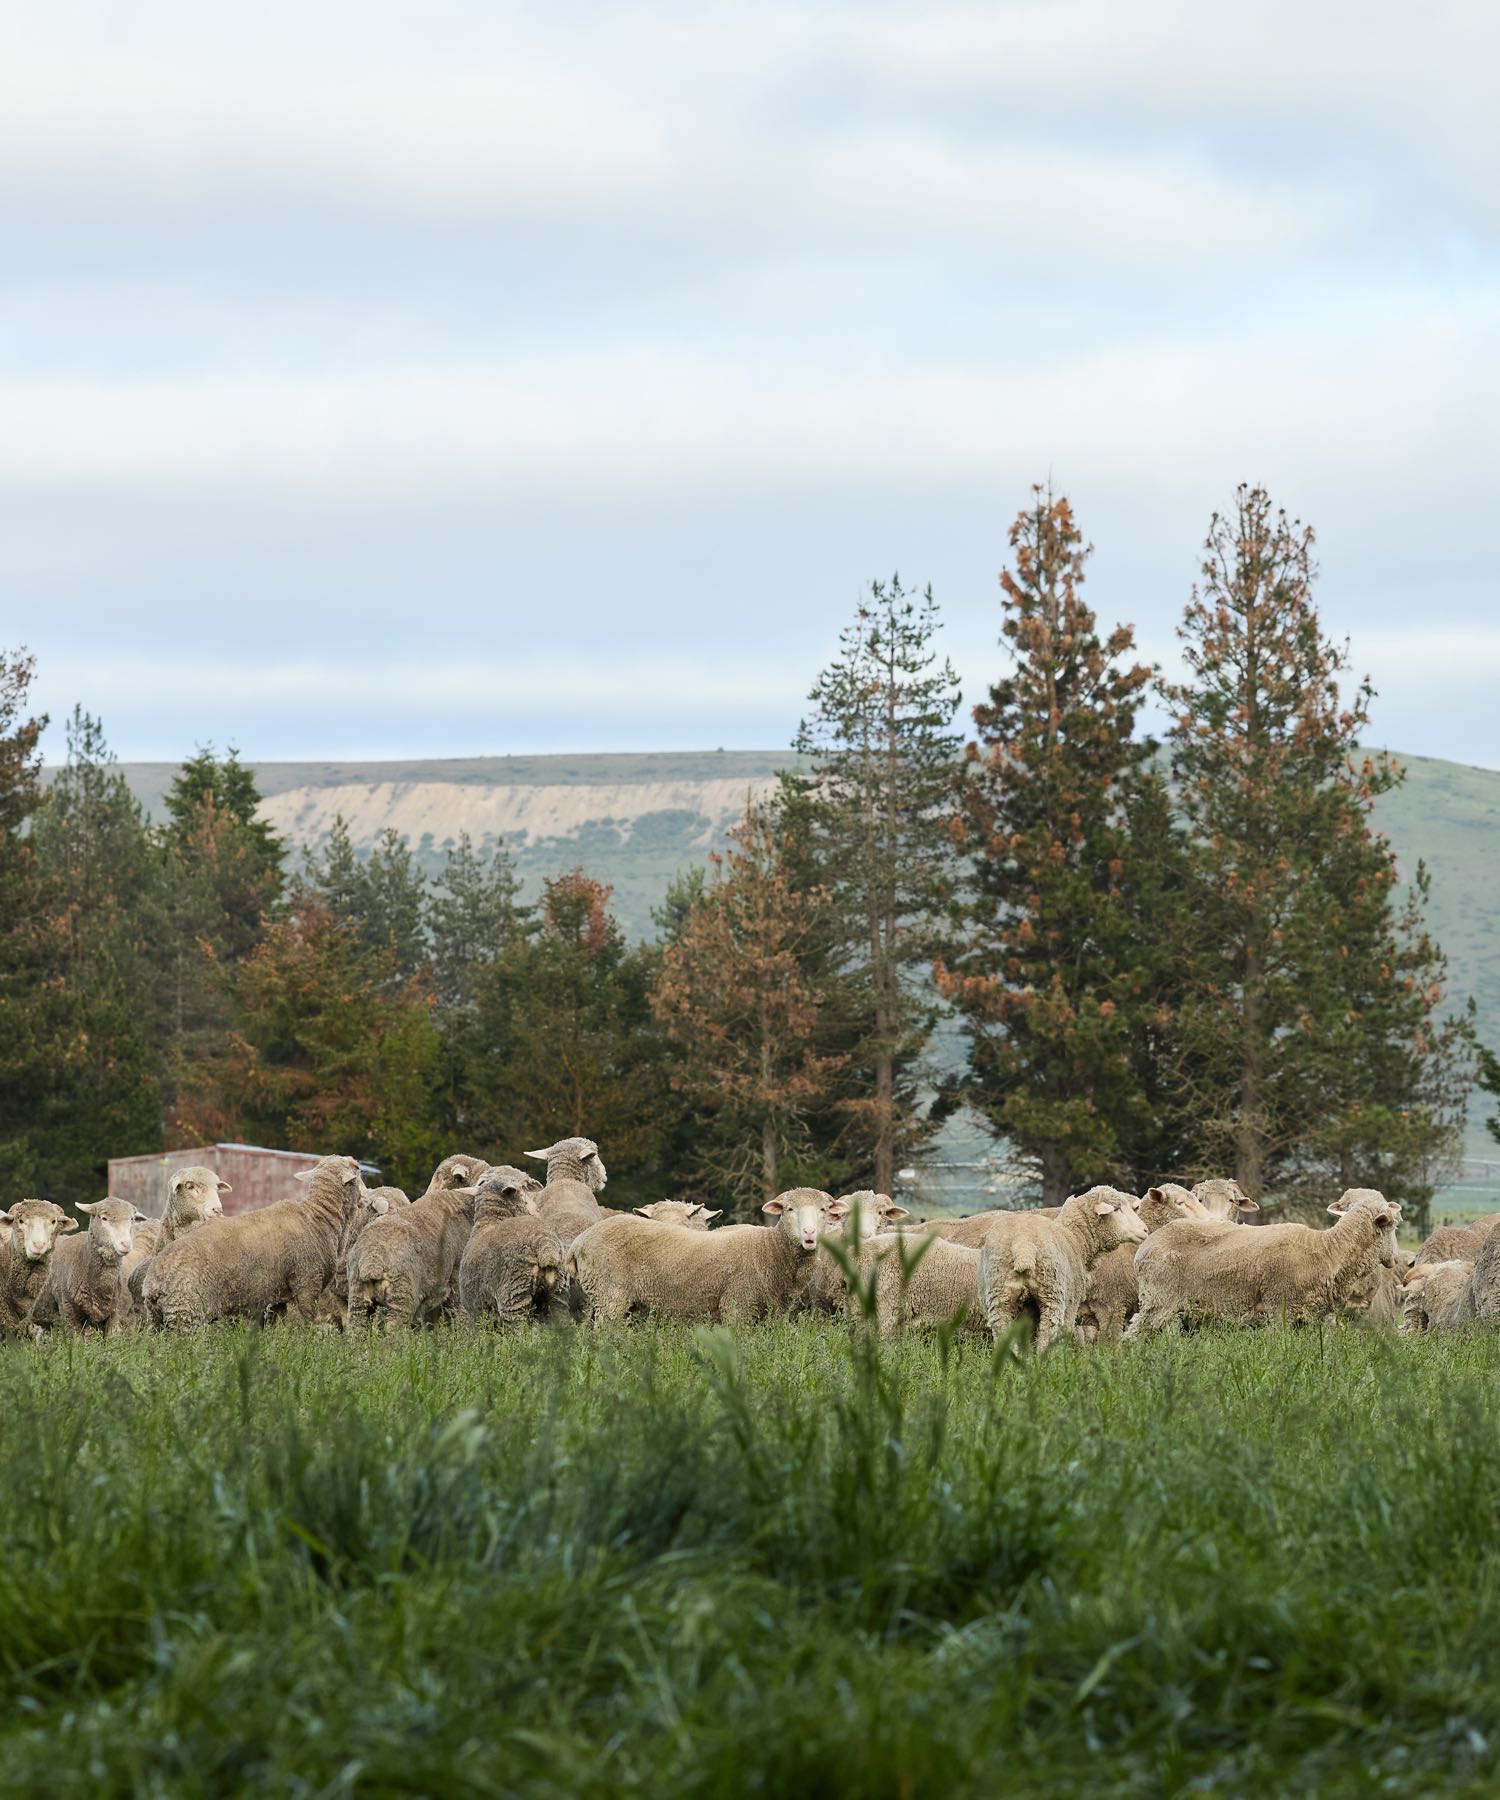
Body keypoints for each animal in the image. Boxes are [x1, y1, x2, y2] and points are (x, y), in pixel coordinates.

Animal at [141, 1155, 370, 1329]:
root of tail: (154, 1283)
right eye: (358, 1169)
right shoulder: (308, 1282)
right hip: (187, 1314)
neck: (317, 1216)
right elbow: (311, 1322)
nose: (367, 1198)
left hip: (156, 1320)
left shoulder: (276, 1297)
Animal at [567, 1188, 846, 1325]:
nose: (809, 1233)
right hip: (609, 1296)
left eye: (824, 1210)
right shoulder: (737, 1306)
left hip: (598, 1300)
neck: (769, 1249)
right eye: (789, 1209)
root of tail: (579, 1242)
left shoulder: (772, 1315)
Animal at [979, 1187, 1149, 1352]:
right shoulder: (1072, 1302)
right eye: (1117, 1209)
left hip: (999, 1295)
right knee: (1048, 1334)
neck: (1075, 1239)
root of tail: (1023, 1244)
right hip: (1051, 1294)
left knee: (1002, 1332)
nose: (1145, 1230)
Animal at [1127, 1188, 1402, 1336]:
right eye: (1392, 1226)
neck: (1327, 1250)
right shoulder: (1280, 1308)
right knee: (1133, 1335)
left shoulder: (1315, 1318)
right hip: (1159, 1299)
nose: (1396, 1259)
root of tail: (1149, 1242)